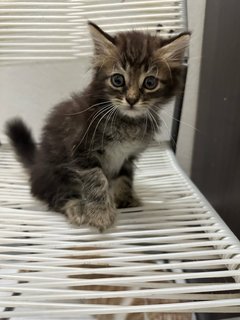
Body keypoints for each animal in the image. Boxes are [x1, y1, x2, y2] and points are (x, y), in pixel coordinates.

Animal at [5, 21, 189, 231]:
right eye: (118, 80)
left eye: (150, 82)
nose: (131, 100)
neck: (127, 122)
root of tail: (36, 164)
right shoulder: (82, 152)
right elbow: (96, 180)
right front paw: (100, 213)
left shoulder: (128, 157)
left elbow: (125, 177)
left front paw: (125, 198)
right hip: (53, 174)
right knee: (55, 195)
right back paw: (76, 207)